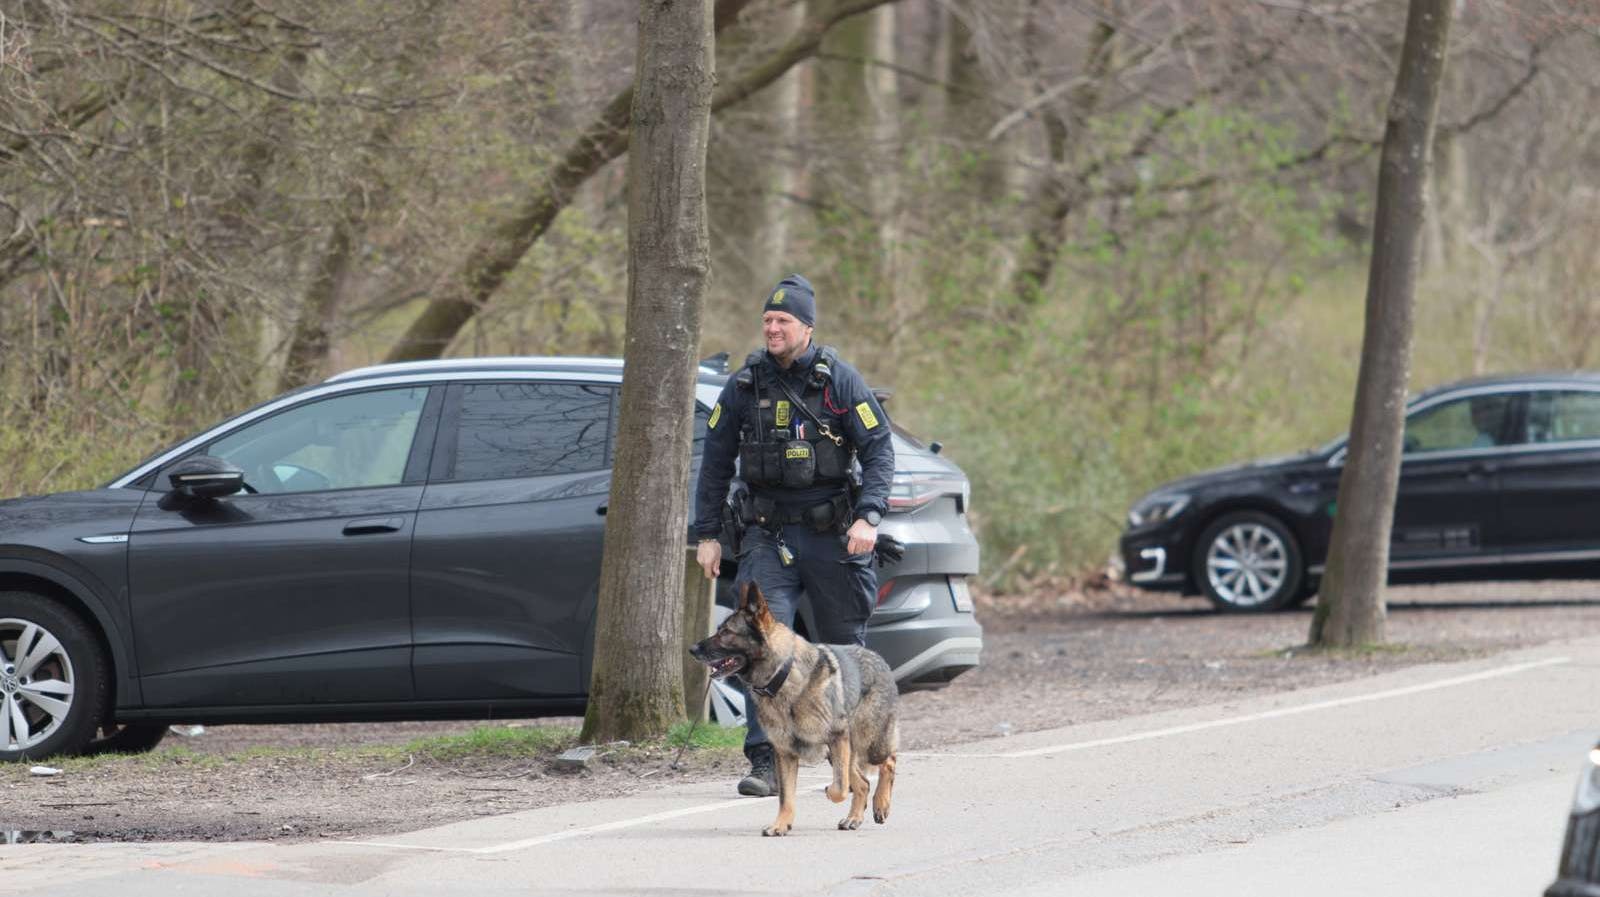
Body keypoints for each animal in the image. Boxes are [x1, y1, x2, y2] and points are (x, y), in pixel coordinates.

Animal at [691, 582, 902, 831]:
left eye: (726, 633)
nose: (692, 649)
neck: (782, 675)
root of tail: (878, 658)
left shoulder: (836, 738)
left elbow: (839, 789)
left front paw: (829, 793)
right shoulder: (785, 752)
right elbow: (787, 797)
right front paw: (781, 825)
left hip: (869, 743)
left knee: (888, 762)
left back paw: (881, 804)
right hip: (843, 752)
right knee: (862, 783)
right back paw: (854, 818)